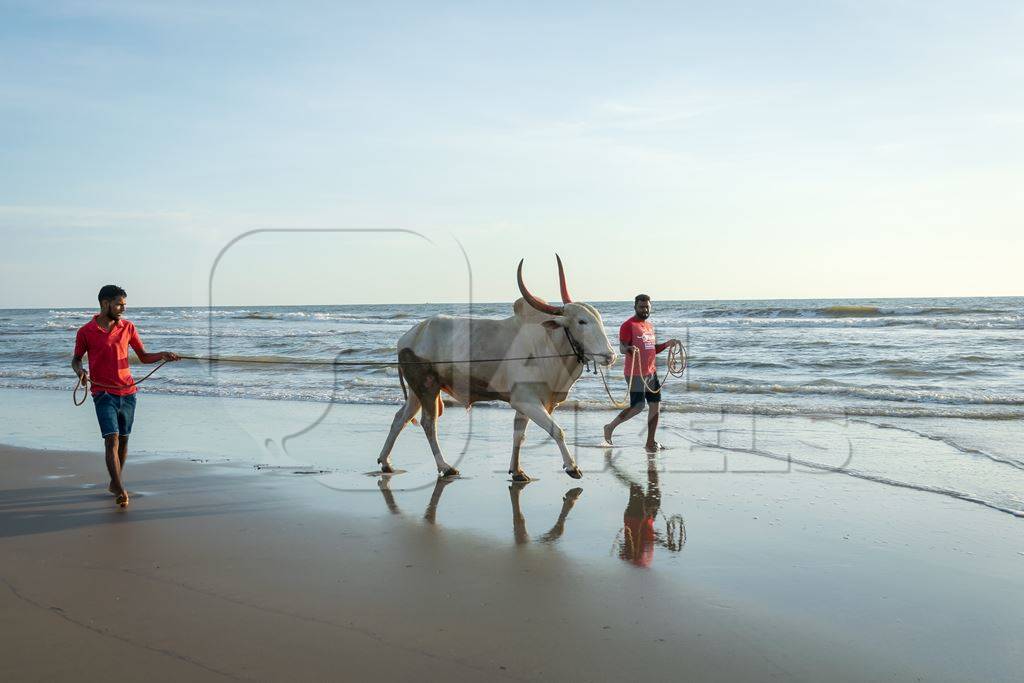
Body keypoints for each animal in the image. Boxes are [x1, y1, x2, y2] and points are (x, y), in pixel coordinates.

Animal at [376, 255, 614, 481]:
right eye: (582, 321)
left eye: (599, 318)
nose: (610, 355)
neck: (548, 344)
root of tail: (408, 336)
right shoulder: (526, 400)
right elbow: (557, 431)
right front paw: (572, 467)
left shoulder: (528, 402)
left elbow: (519, 435)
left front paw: (517, 471)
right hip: (427, 387)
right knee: (428, 423)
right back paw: (445, 467)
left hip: (417, 391)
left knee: (401, 418)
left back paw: (386, 462)